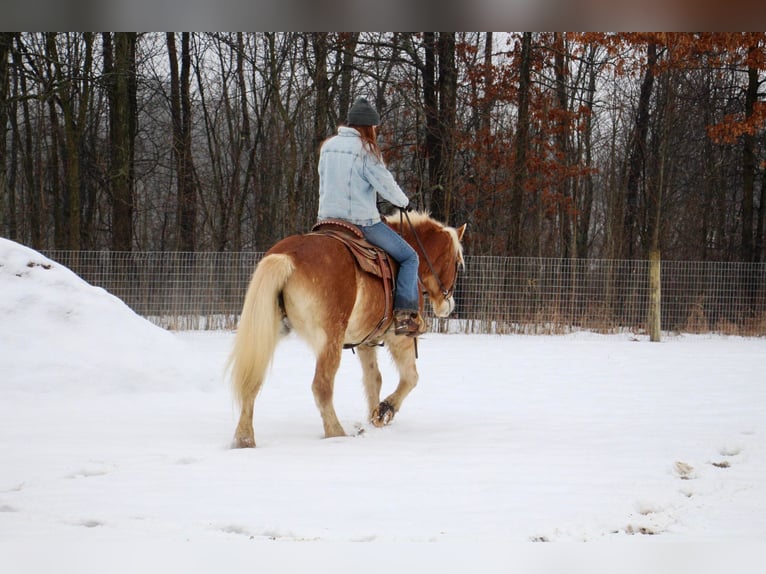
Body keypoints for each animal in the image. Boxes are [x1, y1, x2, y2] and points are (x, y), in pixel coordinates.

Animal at [228, 212, 468, 450]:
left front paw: (376, 418)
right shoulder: (399, 338)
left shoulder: (366, 342)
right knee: (322, 386)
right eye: (457, 263)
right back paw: (337, 434)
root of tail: (288, 256)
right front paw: (386, 409)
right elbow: (411, 378)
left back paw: (244, 440)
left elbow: (374, 379)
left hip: (267, 333)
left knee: (252, 381)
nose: (448, 305)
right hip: (329, 339)